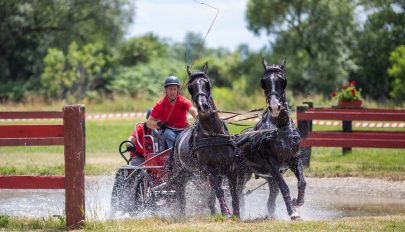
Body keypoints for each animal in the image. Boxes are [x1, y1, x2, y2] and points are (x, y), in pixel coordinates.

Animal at [168, 62, 246, 218]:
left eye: (207, 84)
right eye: (190, 87)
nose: (203, 106)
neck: (213, 135)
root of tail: (179, 136)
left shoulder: (230, 168)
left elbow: (233, 192)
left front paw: (236, 214)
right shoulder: (209, 169)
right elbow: (219, 191)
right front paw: (226, 212)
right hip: (182, 174)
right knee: (181, 195)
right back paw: (182, 214)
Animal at [237, 59, 304, 220]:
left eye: (283, 80)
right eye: (264, 82)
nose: (274, 107)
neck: (280, 128)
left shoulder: (294, 159)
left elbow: (302, 182)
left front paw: (298, 202)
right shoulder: (272, 163)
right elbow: (284, 186)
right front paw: (293, 212)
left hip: (269, 178)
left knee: (272, 196)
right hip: (242, 173)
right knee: (238, 192)